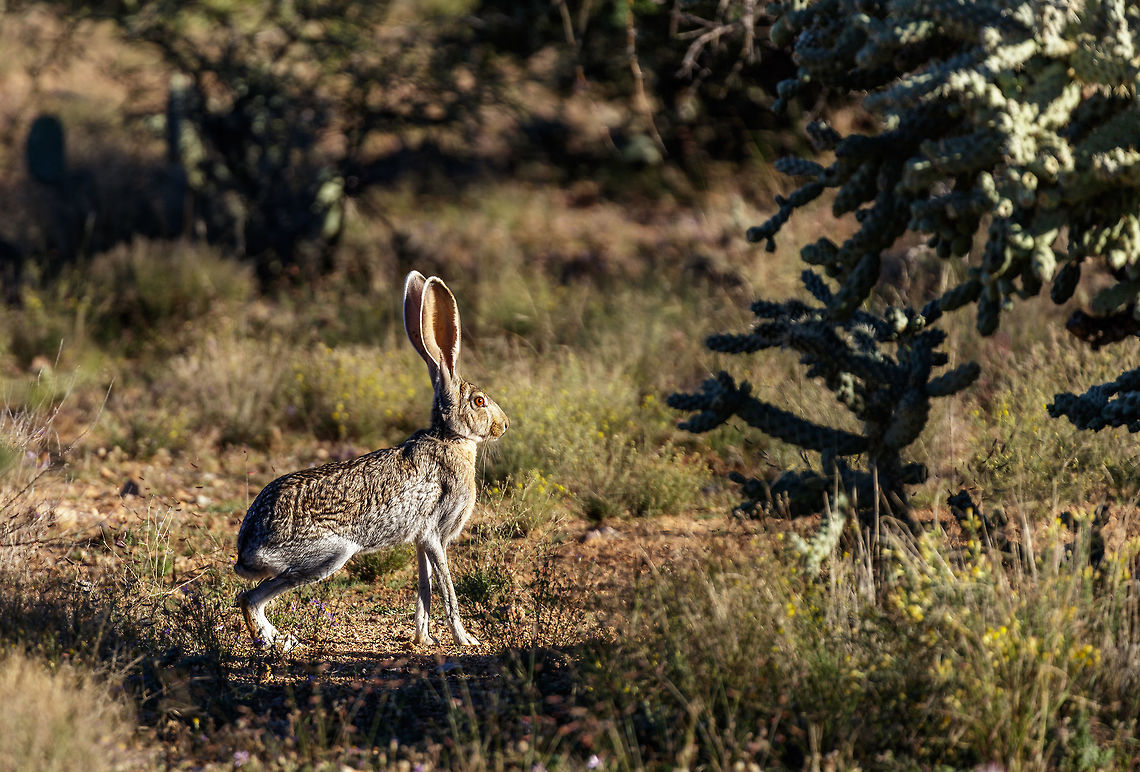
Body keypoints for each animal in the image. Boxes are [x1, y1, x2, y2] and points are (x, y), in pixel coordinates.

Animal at [234, 271, 509, 652]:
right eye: (480, 401)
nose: (504, 425)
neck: (449, 437)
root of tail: (247, 550)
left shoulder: (421, 540)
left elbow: (424, 589)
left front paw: (422, 638)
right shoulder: (435, 533)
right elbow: (447, 589)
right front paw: (465, 639)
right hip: (327, 556)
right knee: (250, 598)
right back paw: (280, 642)